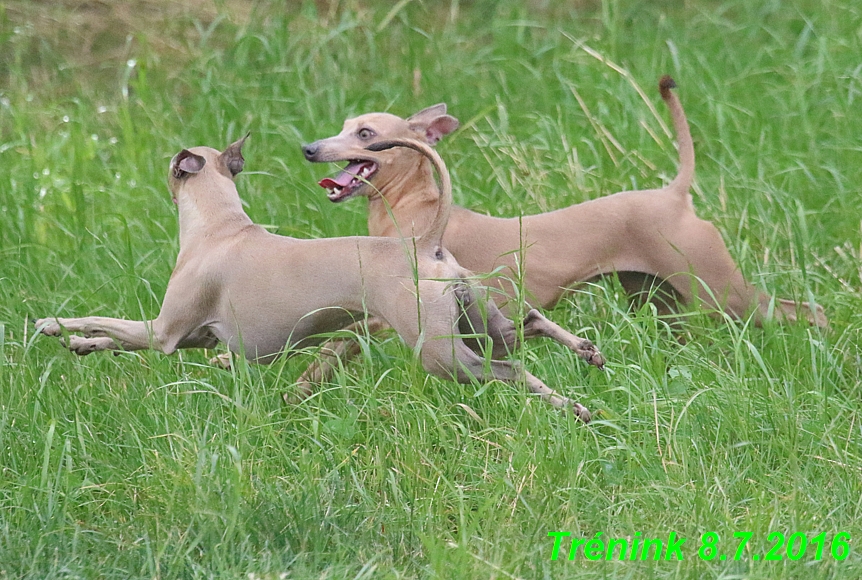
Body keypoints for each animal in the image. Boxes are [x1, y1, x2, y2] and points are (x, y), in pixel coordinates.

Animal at [37, 136, 604, 422]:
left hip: (441, 353)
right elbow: (112, 338)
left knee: (505, 370)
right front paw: (82, 346)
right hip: (479, 317)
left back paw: (563, 399)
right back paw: (581, 372)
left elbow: (105, 320)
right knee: (530, 324)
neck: (220, 226)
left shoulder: (164, 333)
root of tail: (423, 245)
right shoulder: (195, 338)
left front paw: (54, 325)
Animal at [304, 76, 832, 326]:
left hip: (719, 289)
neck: (414, 210)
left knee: (805, 312)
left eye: (365, 134)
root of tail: (673, 193)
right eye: (342, 126)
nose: (309, 148)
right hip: (657, 296)